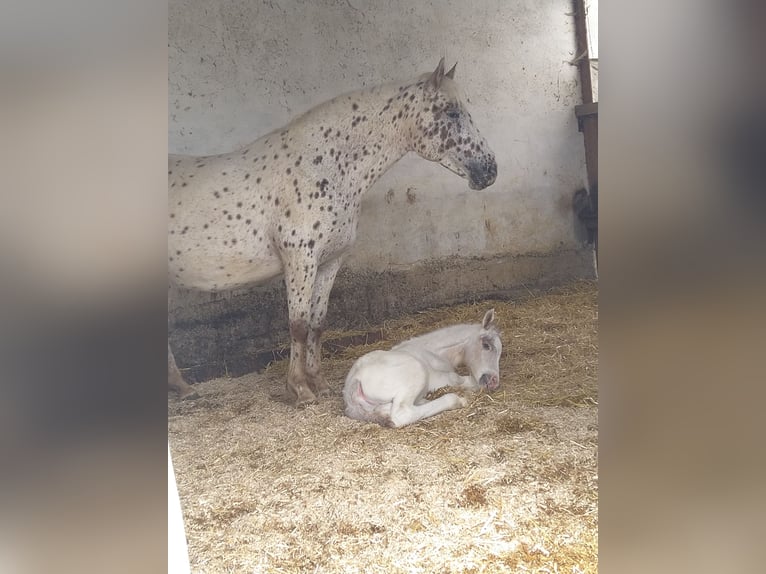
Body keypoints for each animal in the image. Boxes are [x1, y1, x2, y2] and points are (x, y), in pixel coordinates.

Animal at [170, 58, 498, 408]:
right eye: (451, 112)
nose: (490, 170)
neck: (320, 168)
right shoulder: (301, 260)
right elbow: (298, 326)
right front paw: (300, 390)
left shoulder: (330, 261)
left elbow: (317, 324)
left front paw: (320, 383)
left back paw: (184, 389)